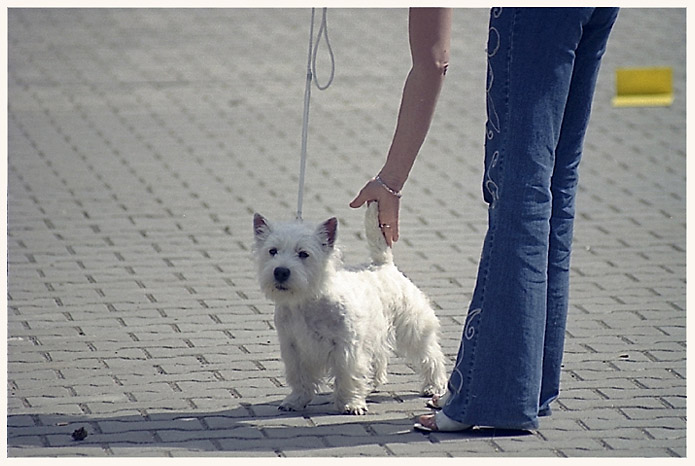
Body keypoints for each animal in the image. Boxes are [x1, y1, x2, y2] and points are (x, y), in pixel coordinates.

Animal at [253, 202, 448, 414]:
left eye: (303, 254)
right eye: (272, 251)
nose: (280, 272)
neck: (306, 301)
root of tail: (383, 265)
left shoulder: (346, 347)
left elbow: (348, 375)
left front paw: (350, 404)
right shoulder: (293, 347)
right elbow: (299, 377)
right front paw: (295, 400)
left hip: (412, 327)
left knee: (430, 355)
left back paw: (433, 386)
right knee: (380, 356)